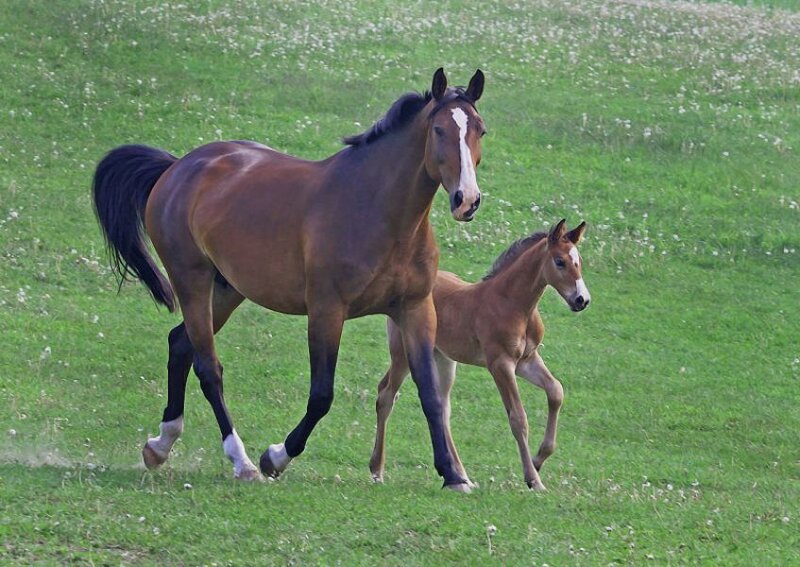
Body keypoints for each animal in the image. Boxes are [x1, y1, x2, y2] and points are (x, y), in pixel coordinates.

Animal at [92, 68, 487, 491]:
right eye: (439, 130)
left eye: (480, 129)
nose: (467, 200)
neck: (378, 211)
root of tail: (177, 166)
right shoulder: (327, 311)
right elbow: (321, 395)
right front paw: (276, 457)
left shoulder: (416, 310)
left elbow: (430, 394)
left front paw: (452, 475)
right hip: (191, 281)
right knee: (209, 368)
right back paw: (242, 461)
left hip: (227, 290)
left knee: (180, 344)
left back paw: (160, 445)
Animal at [369, 219, 590, 491]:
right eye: (560, 262)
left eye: (579, 260)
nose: (582, 300)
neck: (513, 304)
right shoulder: (501, 365)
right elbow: (518, 418)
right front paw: (533, 479)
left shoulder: (527, 361)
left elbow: (556, 391)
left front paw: (539, 459)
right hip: (403, 353)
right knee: (386, 395)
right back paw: (377, 470)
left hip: (443, 359)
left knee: (442, 408)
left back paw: (461, 477)